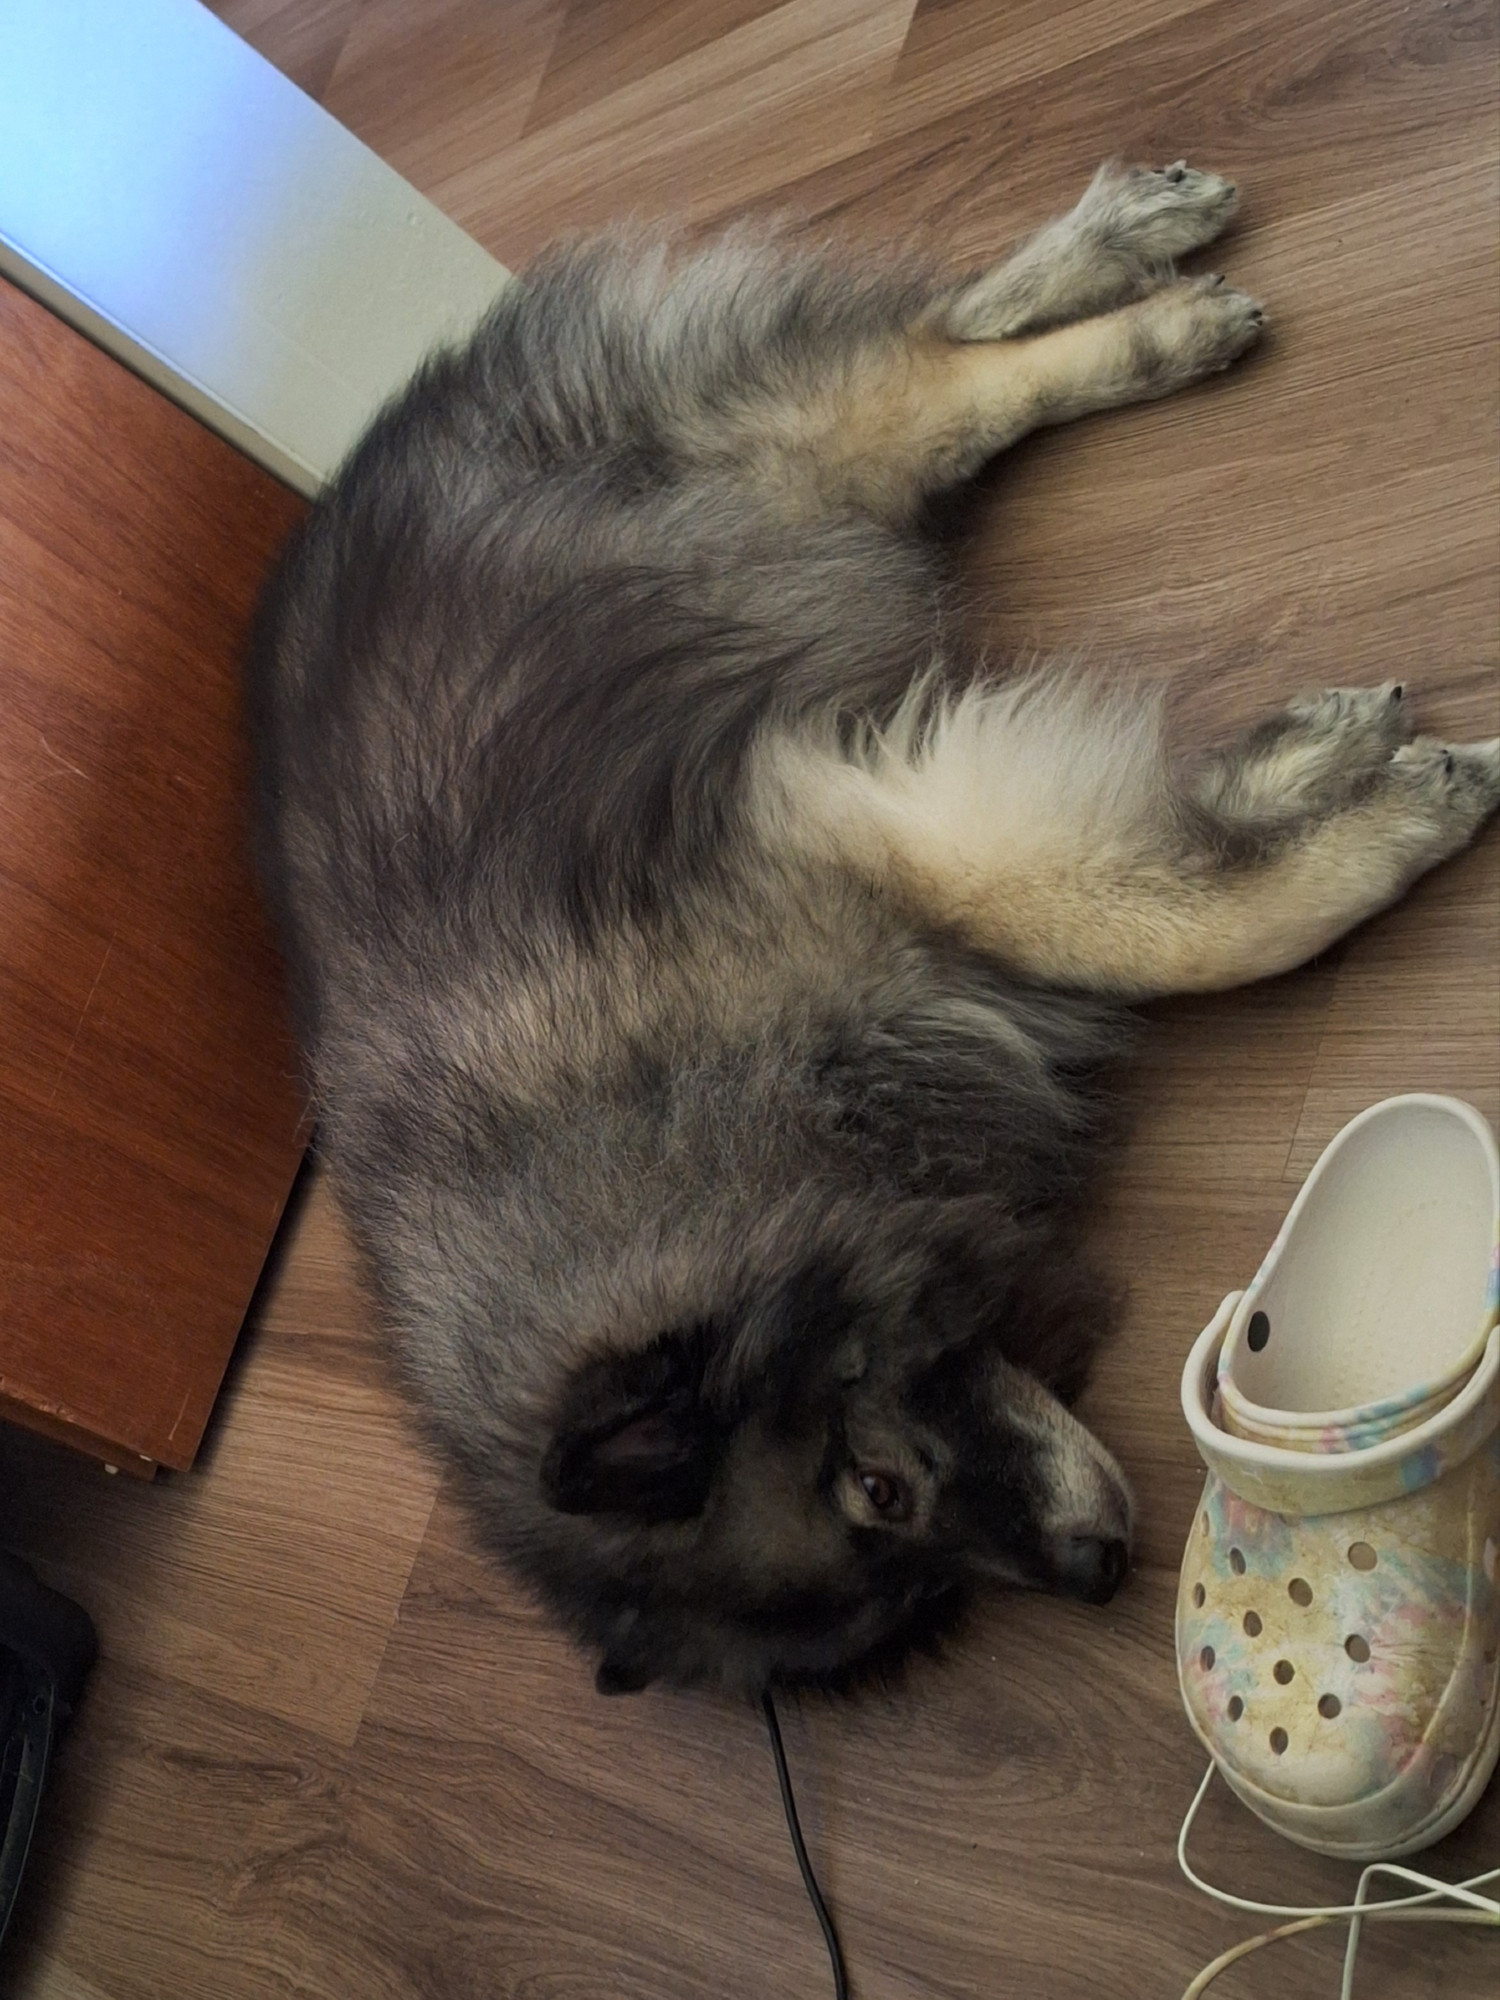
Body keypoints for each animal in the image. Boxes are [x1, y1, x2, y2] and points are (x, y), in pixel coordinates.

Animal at [250, 168, 1500, 1688]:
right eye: (909, 1582)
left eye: (878, 1488)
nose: (1099, 1571)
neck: (663, 1145)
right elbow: (1172, 867)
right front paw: (1310, 767)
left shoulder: (871, 827)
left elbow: (1181, 924)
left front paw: (1385, 817)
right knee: (944, 337)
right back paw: (1123, 256)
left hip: (767, 470)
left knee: (935, 373)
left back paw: (1150, 305)